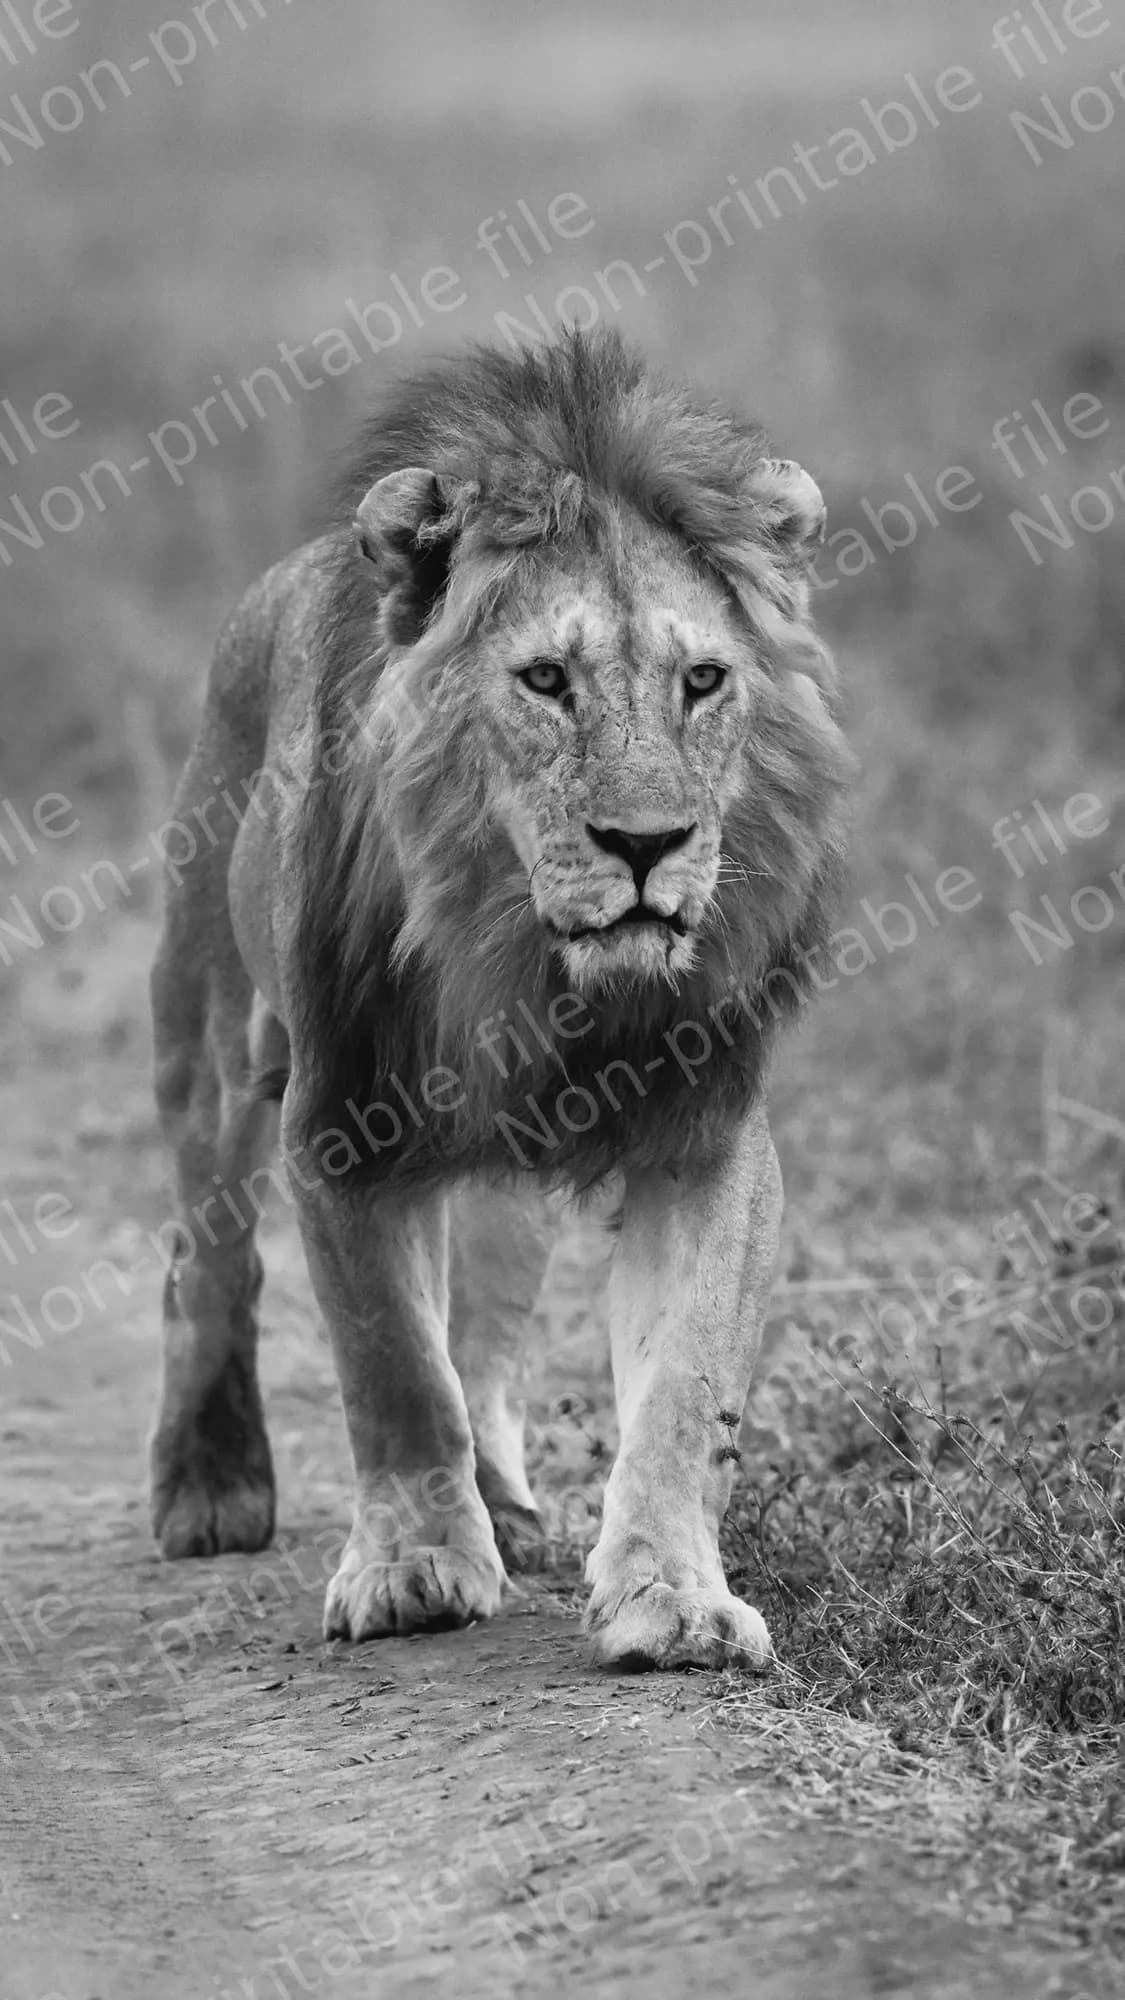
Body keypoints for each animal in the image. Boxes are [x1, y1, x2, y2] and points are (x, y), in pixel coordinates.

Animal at [149, 329, 850, 1670]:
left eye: (702, 678)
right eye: (544, 680)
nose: (648, 842)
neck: (533, 967)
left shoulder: (707, 1126)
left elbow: (683, 1385)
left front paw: (669, 1596)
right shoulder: (342, 1119)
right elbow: (391, 1365)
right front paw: (415, 1568)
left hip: (496, 1185)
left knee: (484, 1335)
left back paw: (509, 1506)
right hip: (207, 1041)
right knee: (210, 1260)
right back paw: (208, 1483)